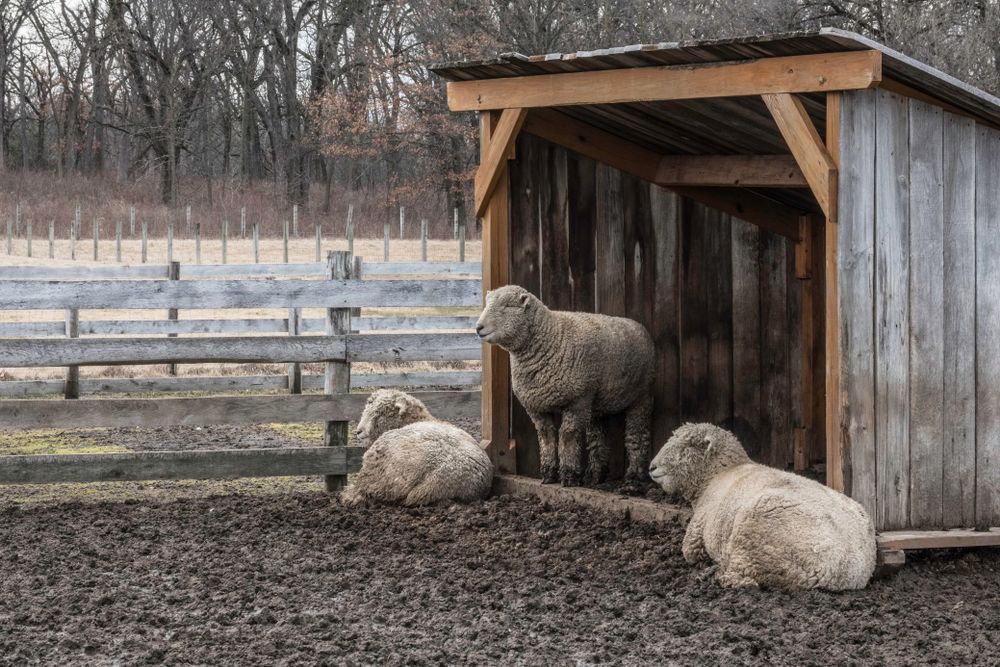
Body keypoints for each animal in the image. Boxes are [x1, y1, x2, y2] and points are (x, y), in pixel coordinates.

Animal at [475, 284, 655, 487]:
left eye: (507, 306)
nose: (478, 327)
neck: (551, 337)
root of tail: (638, 325)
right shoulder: (537, 406)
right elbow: (546, 436)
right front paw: (548, 474)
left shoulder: (576, 402)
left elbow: (567, 436)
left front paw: (568, 475)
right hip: (595, 402)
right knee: (597, 436)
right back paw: (595, 475)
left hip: (641, 396)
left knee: (637, 434)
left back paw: (634, 477)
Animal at [649, 423, 877, 591]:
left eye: (687, 446)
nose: (651, 467)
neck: (717, 475)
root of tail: (844, 573)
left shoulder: (697, 533)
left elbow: (690, 552)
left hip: (753, 538)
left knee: (743, 578)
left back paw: (712, 575)